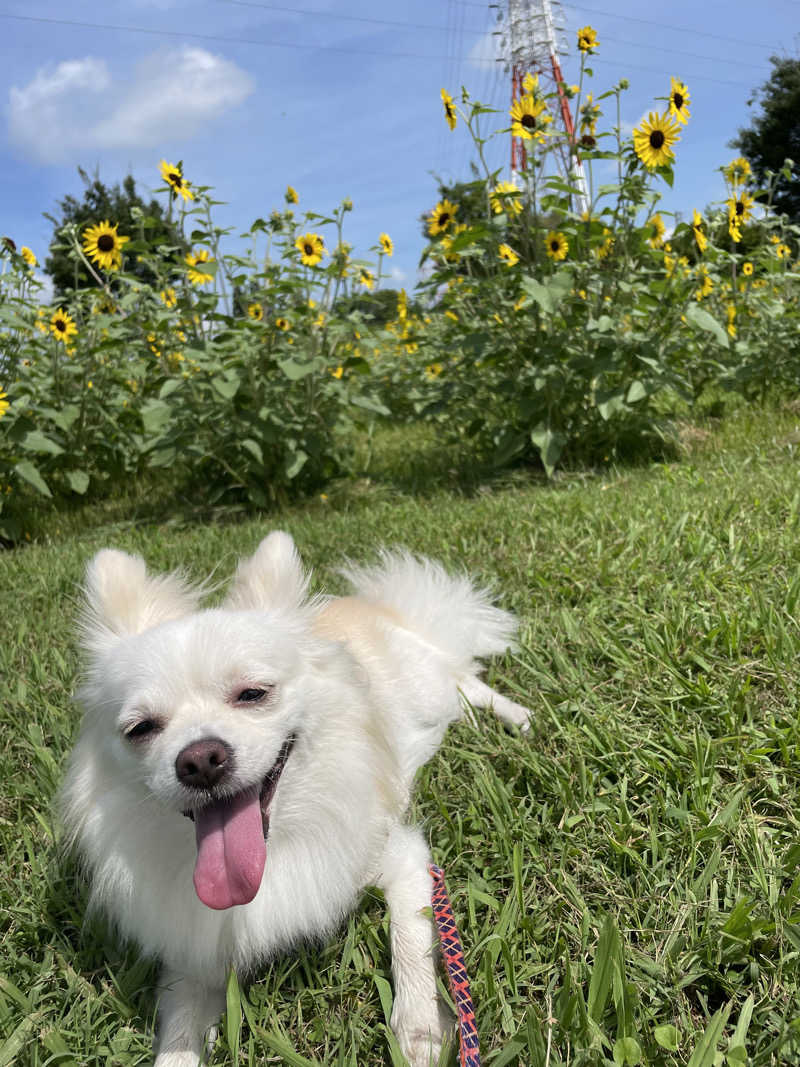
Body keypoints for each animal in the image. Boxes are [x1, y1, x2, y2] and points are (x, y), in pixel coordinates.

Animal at [61, 533, 533, 1067]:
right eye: (141, 729)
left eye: (252, 694)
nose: (200, 759)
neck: (277, 847)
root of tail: (369, 605)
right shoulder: (196, 947)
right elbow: (179, 1036)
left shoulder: (405, 860)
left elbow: (410, 941)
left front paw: (421, 1030)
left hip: (429, 685)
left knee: (465, 680)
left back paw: (515, 716)